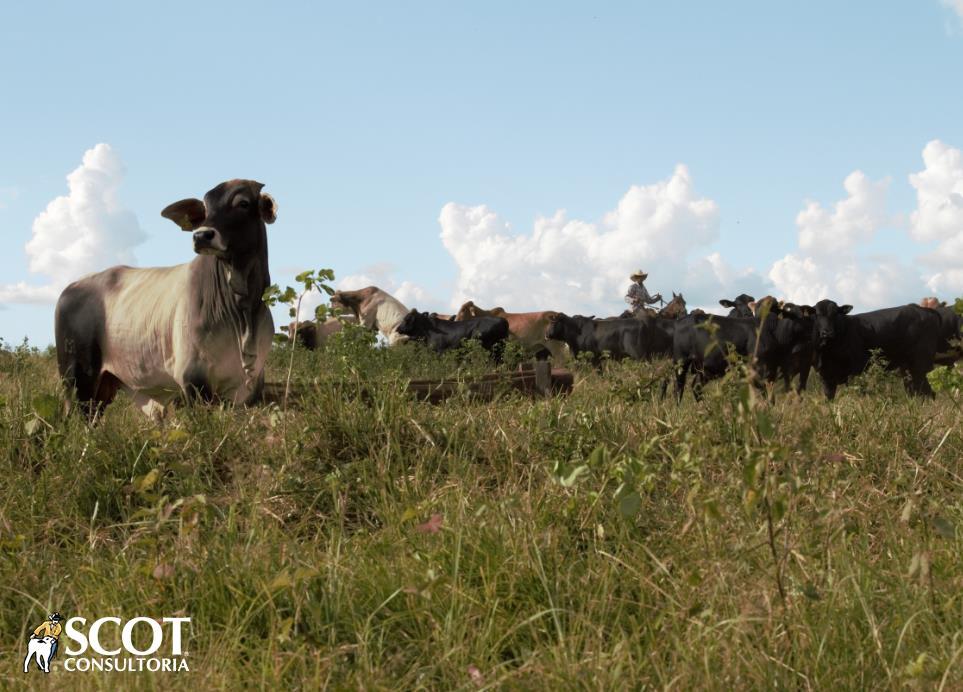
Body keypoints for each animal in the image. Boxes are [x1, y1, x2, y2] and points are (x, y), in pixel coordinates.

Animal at [56, 178, 276, 418]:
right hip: (76, 381)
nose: (201, 235)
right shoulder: (194, 380)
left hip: (104, 387)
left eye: (243, 203)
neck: (243, 310)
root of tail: (71, 287)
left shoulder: (249, 389)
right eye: (205, 208)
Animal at [812, 298, 940, 400]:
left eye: (835, 314)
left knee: (927, 392)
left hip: (920, 364)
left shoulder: (856, 372)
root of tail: (924, 310)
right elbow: (829, 399)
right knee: (915, 391)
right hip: (907, 368)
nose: (827, 333)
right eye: (817, 315)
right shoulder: (826, 377)